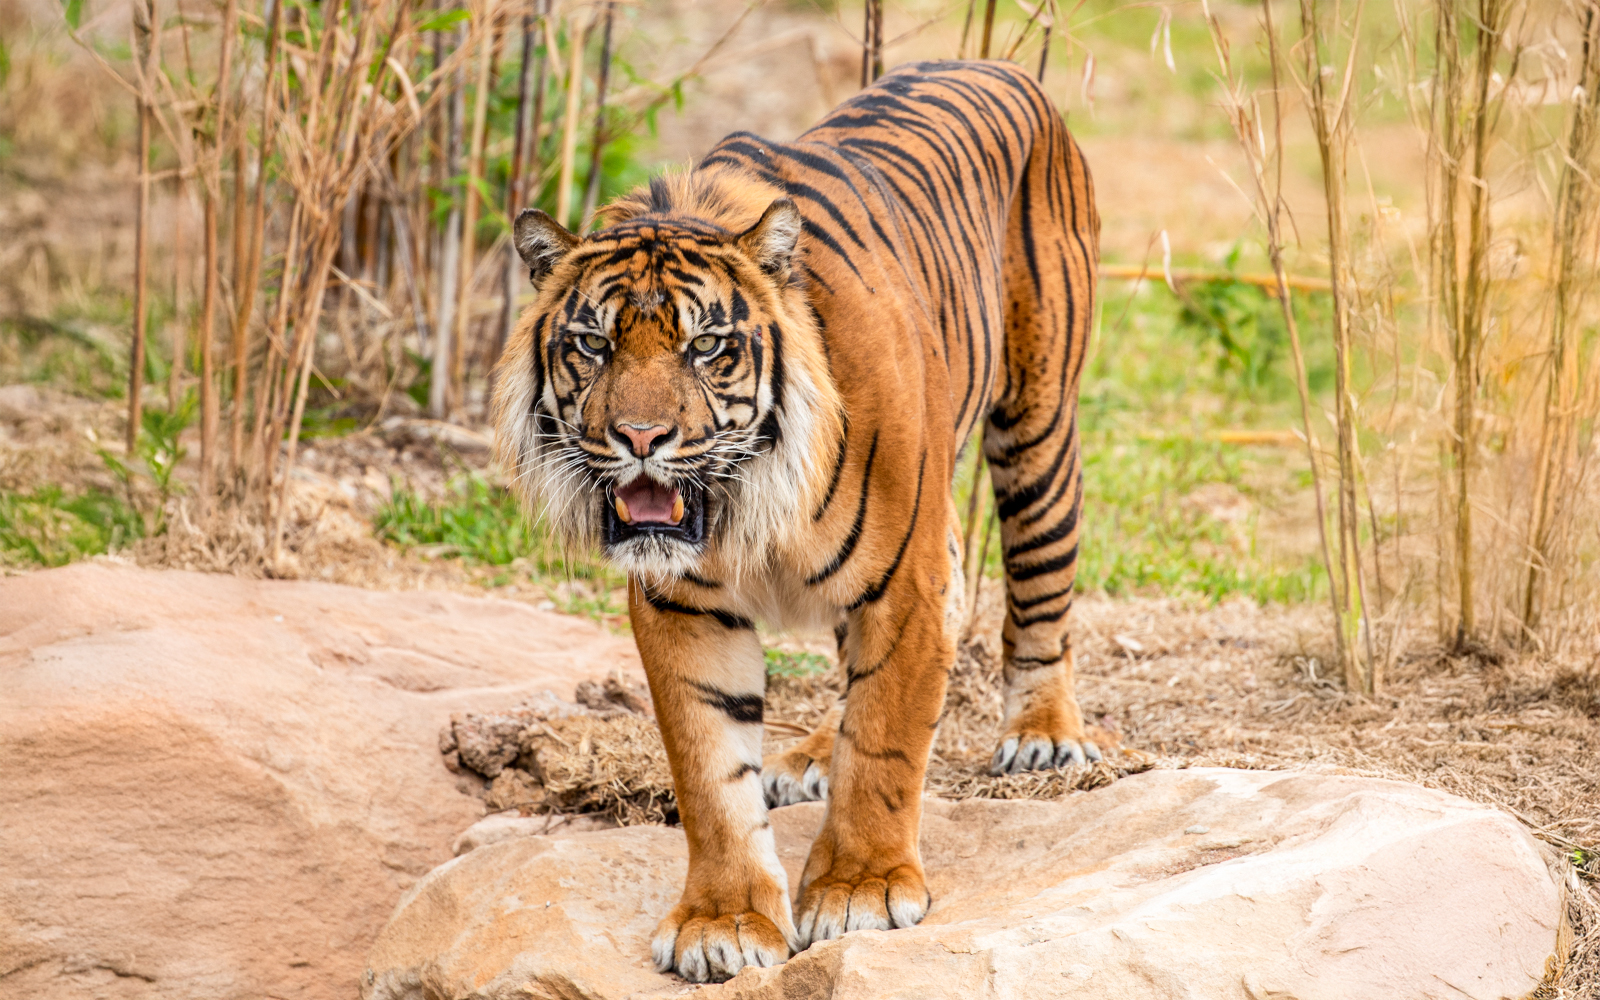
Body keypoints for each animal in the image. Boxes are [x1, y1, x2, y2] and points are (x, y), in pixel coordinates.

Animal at [492, 59, 1100, 983]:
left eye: (706, 347)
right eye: (592, 345)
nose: (640, 438)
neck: (745, 501)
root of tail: (1002, 68)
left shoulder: (906, 582)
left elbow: (886, 742)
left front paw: (859, 890)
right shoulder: (683, 606)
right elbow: (709, 772)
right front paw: (723, 922)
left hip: (1037, 421)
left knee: (1039, 588)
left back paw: (1042, 736)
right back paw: (814, 752)